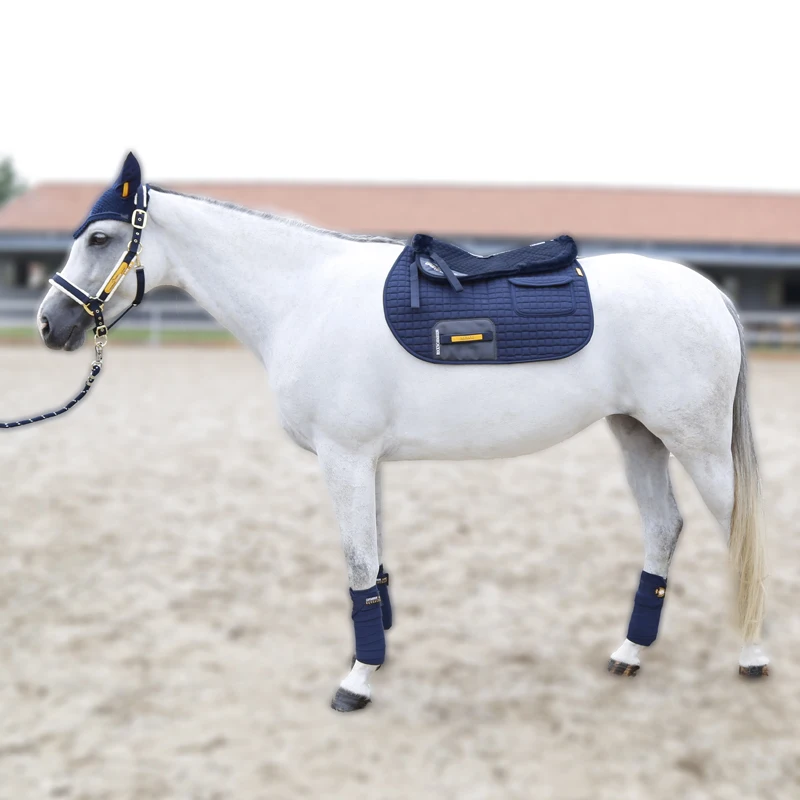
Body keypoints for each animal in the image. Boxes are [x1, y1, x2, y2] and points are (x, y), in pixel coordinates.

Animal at [37, 154, 768, 711]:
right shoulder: (366, 462)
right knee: (663, 528)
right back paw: (629, 653)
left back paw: (753, 654)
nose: (50, 324)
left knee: (738, 535)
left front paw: (357, 680)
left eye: (99, 238)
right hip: (638, 436)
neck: (304, 297)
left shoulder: (344, 457)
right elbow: (375, 561)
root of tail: (711, 294)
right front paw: (380, 652)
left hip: (697, 445)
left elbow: (358, 563)